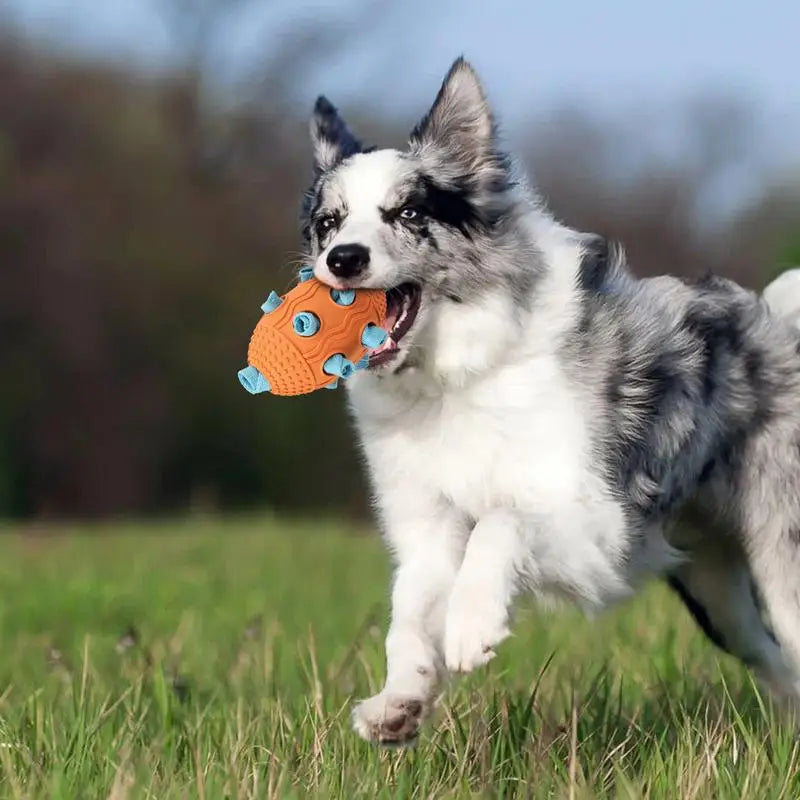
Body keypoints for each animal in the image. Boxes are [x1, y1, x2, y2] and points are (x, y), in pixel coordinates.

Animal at [296, 57, 800, 752]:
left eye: (408, 212)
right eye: (329, 223)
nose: (342, 260)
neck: (454, 378)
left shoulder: (598, 522)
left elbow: (502, 521)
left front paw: (471, 625)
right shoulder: (426, 527)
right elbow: (408, 612)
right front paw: (400, 701)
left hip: (784, 565)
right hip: (718, 595)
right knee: (776, 662)